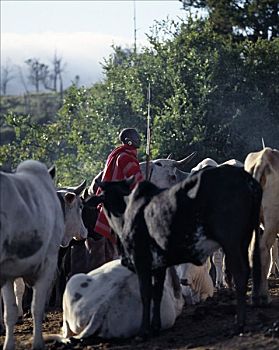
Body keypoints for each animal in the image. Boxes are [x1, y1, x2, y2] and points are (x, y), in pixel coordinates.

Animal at [97, 165, 264, 338]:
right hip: (244, 239)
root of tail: (246, 177)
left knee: (240, 273)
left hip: (231, 242)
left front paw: (143, 331)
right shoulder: (159, 266)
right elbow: (157, 293)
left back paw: (239, 325)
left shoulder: (141, 261)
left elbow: (146, 294)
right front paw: (155, 327)